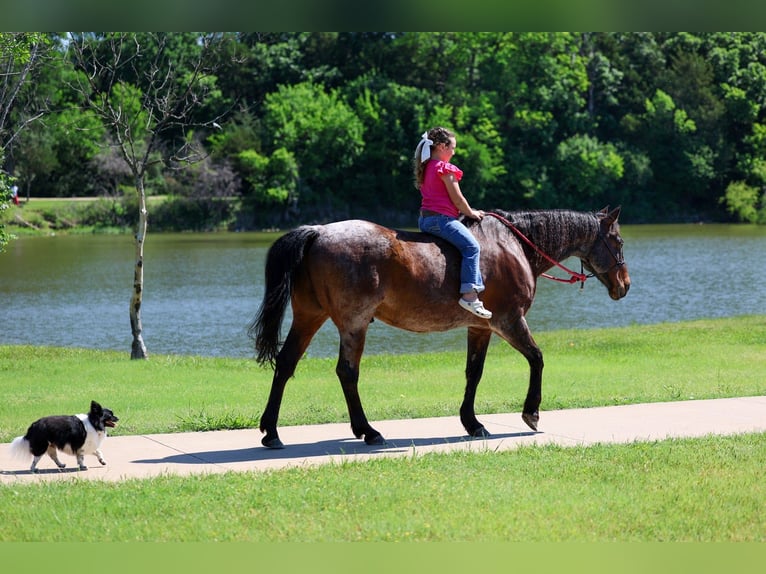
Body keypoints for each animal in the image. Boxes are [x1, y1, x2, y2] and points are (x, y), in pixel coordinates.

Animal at [248, 207, 630, 448]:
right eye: (619, 242)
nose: (624, 284)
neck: (513, 245)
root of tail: (318, 232)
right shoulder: (509, 321)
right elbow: (537, 358)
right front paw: (531, 412)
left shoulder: (481, 327)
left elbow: (474, 373)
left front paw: (472, 422)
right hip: (353, 323)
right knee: (347, 372)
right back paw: (368, 430)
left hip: (309, 316)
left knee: (285, 364)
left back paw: (272, 431)